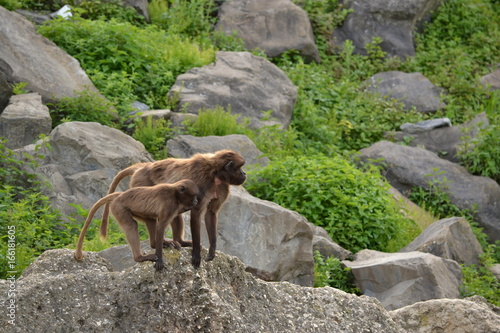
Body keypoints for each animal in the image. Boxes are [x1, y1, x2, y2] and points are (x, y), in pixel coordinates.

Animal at [101, 150, 246, 268]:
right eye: (240, 167)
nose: (244, 173)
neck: (215, 174)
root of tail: (144, 167)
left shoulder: (222, 187)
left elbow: (211, 213)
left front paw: (212, 250)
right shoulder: (201, 183)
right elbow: (196, 213)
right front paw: (196, 254)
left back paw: (179, 242)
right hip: (141, 186)